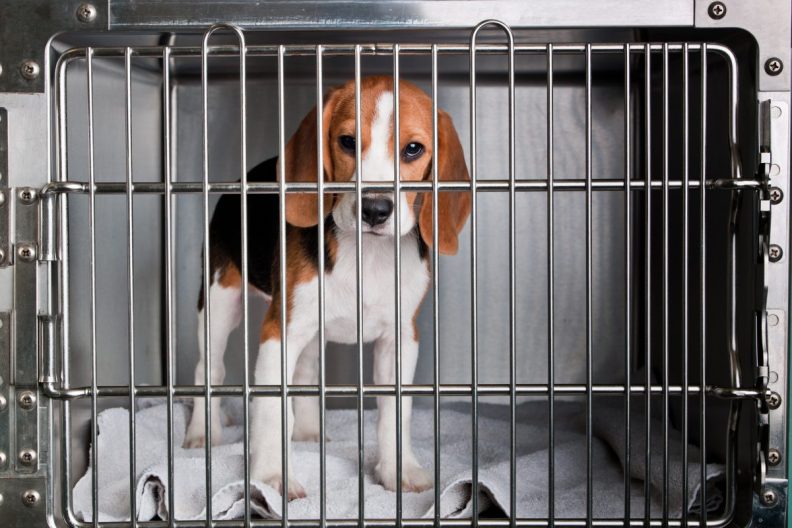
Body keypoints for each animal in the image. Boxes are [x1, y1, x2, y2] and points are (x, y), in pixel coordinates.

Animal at [186, 75, 470, 500]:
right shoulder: (279, 332)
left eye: (413, 149)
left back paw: (308, 432)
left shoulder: (401, 338)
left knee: (305, 373)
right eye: (348, 142)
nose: (375, 209)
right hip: (220, 299)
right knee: (210, 369)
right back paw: (203, 433)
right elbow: (272, 411)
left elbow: (395, 413)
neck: (366, 254)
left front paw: (399, 470)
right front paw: (271, 478)